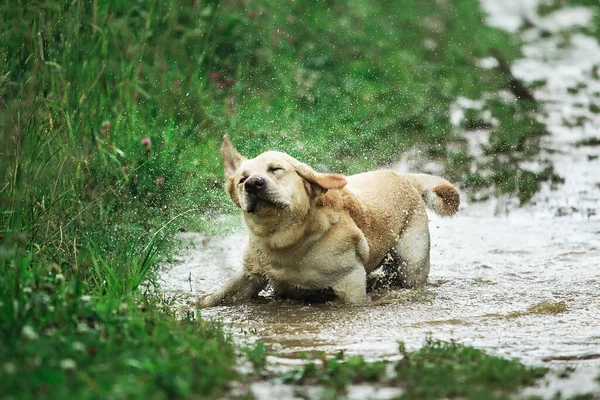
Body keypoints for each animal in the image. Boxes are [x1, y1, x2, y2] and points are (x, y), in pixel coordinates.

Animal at [199, 134, 458, 306]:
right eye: (242, 180)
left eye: (275, 169)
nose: (253, 183)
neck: (285, 239)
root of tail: (404, 177)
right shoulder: (250, 275)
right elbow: (219, 296)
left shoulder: (350, 281)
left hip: (410, 264)